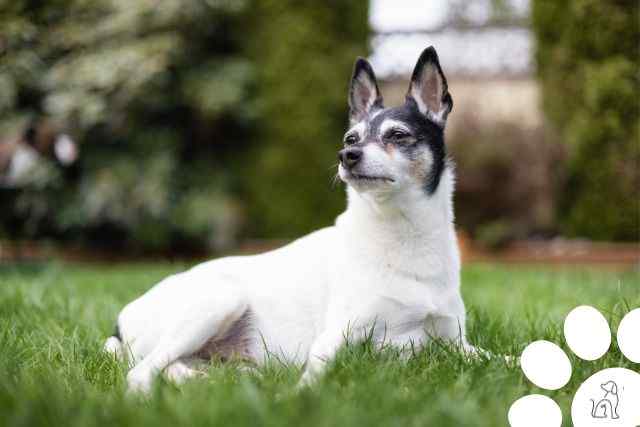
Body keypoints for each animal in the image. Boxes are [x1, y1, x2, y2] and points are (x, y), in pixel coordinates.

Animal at [105, 46, 482, 394]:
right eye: (350, 138)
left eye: (398, 135)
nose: (346, 156)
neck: (402, 234)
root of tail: (122, 320)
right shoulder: (340, 337)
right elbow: (316, 372)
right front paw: (299, 398)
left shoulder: (455, 343)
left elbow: (488, 358)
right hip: (220, 299)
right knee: (143, 370)